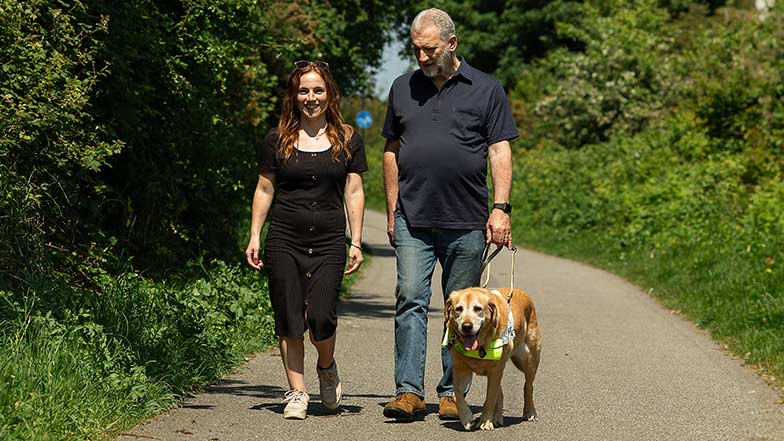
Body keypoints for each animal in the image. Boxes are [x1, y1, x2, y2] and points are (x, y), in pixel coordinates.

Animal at [444, 286, 544, 430]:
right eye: (458, 309)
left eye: (478, 308)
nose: (467, 326)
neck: (479, 347)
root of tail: (521, 291)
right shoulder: (460, 370)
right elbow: (456, 393)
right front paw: (466, 417)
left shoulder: (495, 371)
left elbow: (490, 398)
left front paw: (485, 421)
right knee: (500, 393)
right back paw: (497, 417)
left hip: (528, 360)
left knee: (528, 387)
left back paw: (529, 412)